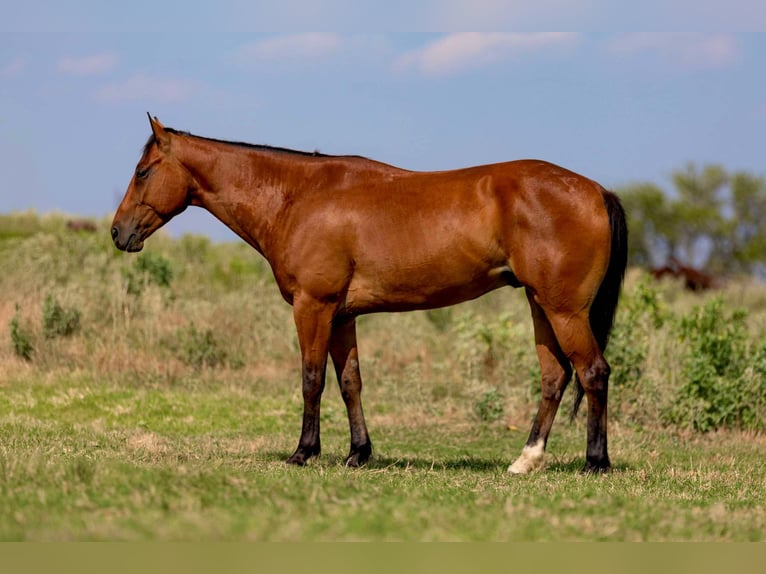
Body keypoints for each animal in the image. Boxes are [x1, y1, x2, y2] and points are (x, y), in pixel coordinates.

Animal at [114, 115, 632, 474]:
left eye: (142, 171)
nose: (119, 233)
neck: (297, 197)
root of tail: (596, 190)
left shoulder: (313, 307)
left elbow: (311, 379)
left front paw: (303, 452)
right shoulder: (342, 315)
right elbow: (350, 383)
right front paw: (358, 453)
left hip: (564, 310)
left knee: (593, 372)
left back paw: (595, 462)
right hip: (541, 306)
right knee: (554, 377)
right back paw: (526, 460)